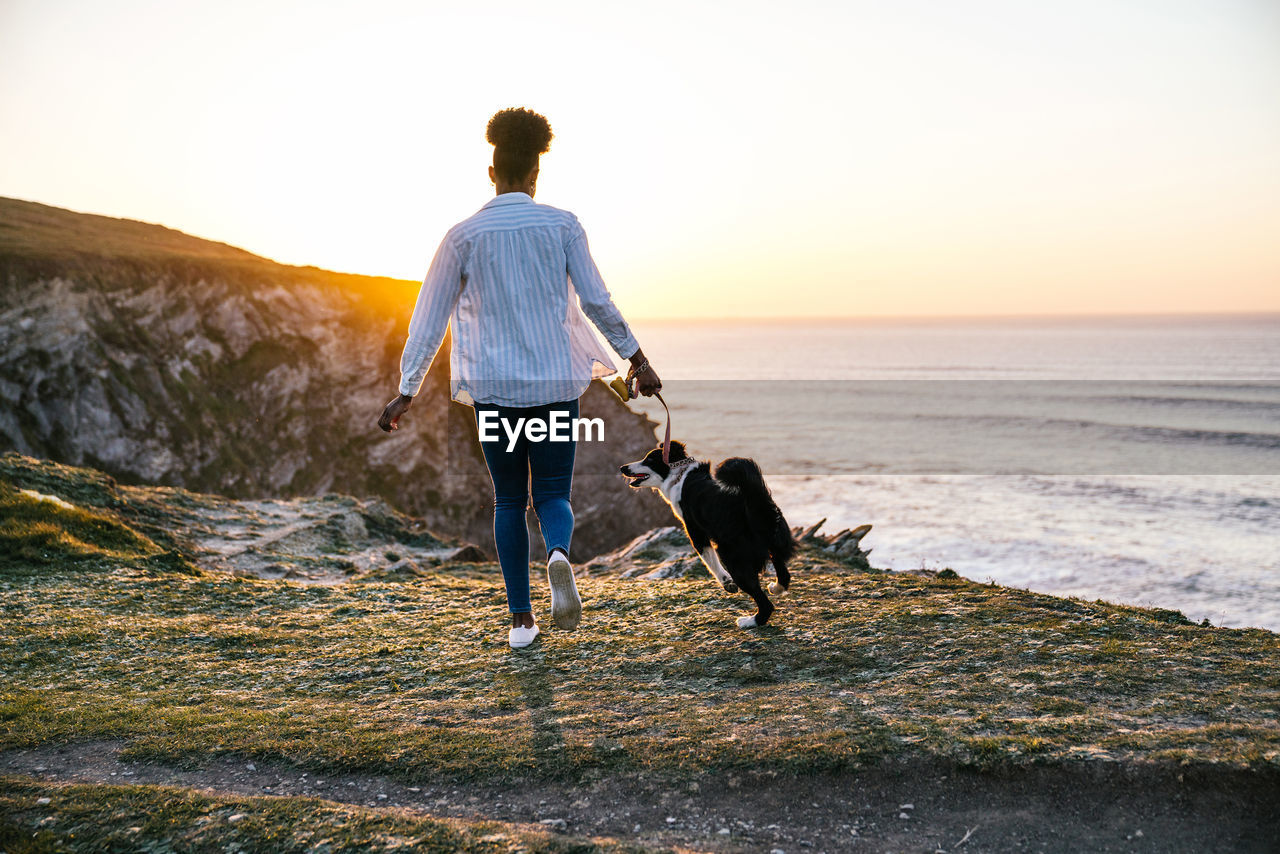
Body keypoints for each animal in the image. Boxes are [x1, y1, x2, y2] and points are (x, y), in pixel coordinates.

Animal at [616, 440, 788, 627]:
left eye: (649, 460)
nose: (623, 468)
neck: (679, 476)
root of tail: (756, 507)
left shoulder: (695, 532)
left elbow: (709, 560)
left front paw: (727, 583)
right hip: (774, 545)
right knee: (783, 573)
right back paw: (776, 587)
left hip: (732, 556)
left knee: (765, 603)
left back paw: (750, 621)